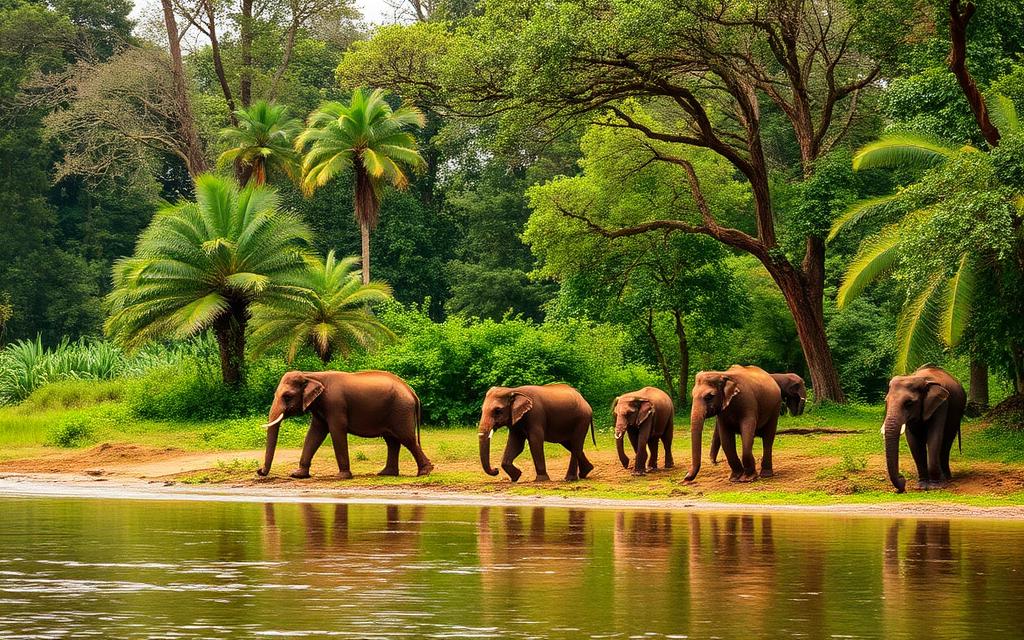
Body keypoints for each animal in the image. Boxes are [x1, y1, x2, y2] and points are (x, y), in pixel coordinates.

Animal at [256, 370, 433, 479]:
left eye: (287, 396)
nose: (259, 471)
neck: (311, 375)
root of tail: (412, 392)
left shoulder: (335, 403)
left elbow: (336, 431)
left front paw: (341, 477)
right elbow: (314, 434)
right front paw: (297, 474)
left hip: (400, 409)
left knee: (407, 438)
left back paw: (425, 472)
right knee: (392, 441)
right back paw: (386, 474)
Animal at [881, 365, 965, 493]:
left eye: (909, 403)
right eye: (886, 401)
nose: (902, 479)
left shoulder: (941, 404)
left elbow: (935, 437)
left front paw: (936, 486)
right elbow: (914, 442)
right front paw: (921, 486)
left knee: (946, 442)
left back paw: (946, 477)